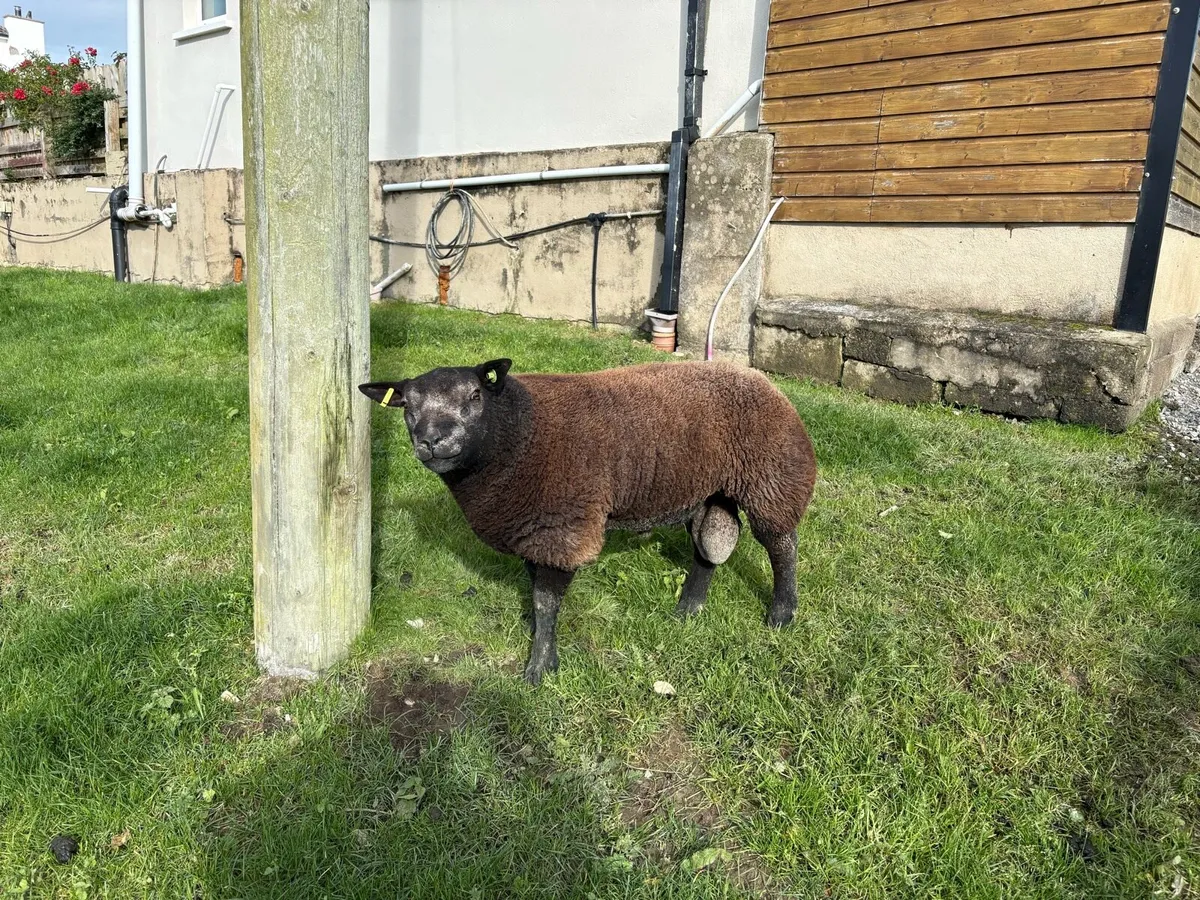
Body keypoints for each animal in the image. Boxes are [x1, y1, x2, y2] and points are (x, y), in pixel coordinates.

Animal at [360, 358, 816, 685]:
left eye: (474, 395)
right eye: (407, 406)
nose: (432, 441)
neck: (517, 435)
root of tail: (757, 375)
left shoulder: (562, 527)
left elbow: (547, 600)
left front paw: (540, 668)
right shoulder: (535, 528)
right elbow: (537, 590)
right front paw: (538, 637)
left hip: (774, 478)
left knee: (782, 545)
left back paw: (781, 613)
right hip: (707, 490)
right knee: (708, 547)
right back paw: (689, 607)